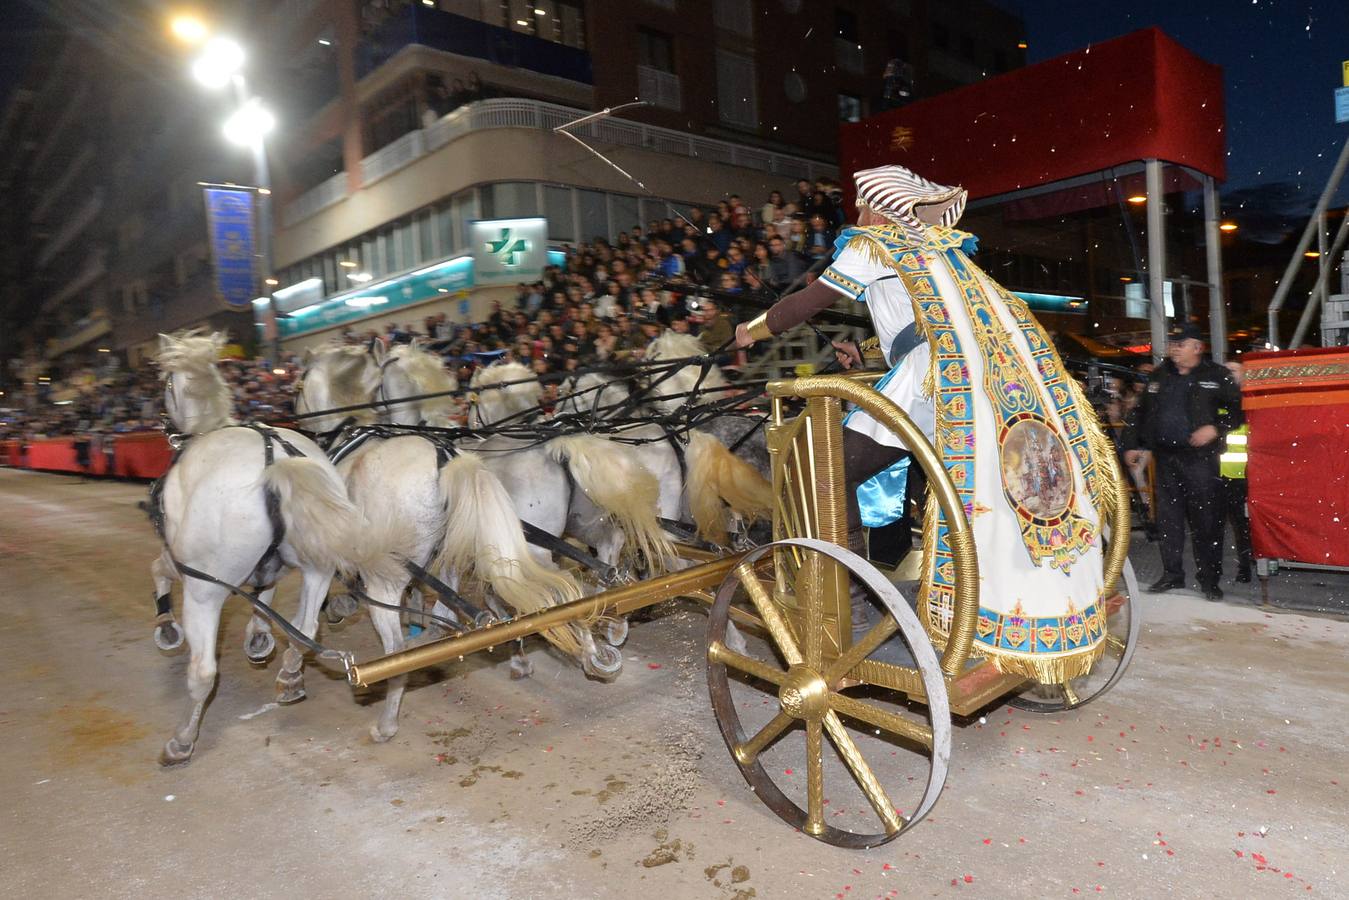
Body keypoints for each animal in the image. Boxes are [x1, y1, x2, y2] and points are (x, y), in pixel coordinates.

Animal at [152, 330, 388, 766]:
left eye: (166, 385)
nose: (165, 424)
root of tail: (276, 460)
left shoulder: (184, 564)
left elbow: (157, 571)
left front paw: (166, 629)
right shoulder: (271, 566)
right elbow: (266, 594)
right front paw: (259, 638)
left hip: (204, 591)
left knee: (204, 671)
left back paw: (182, 741)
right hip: (317, 568)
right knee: (305, 628)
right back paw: (291, 677)